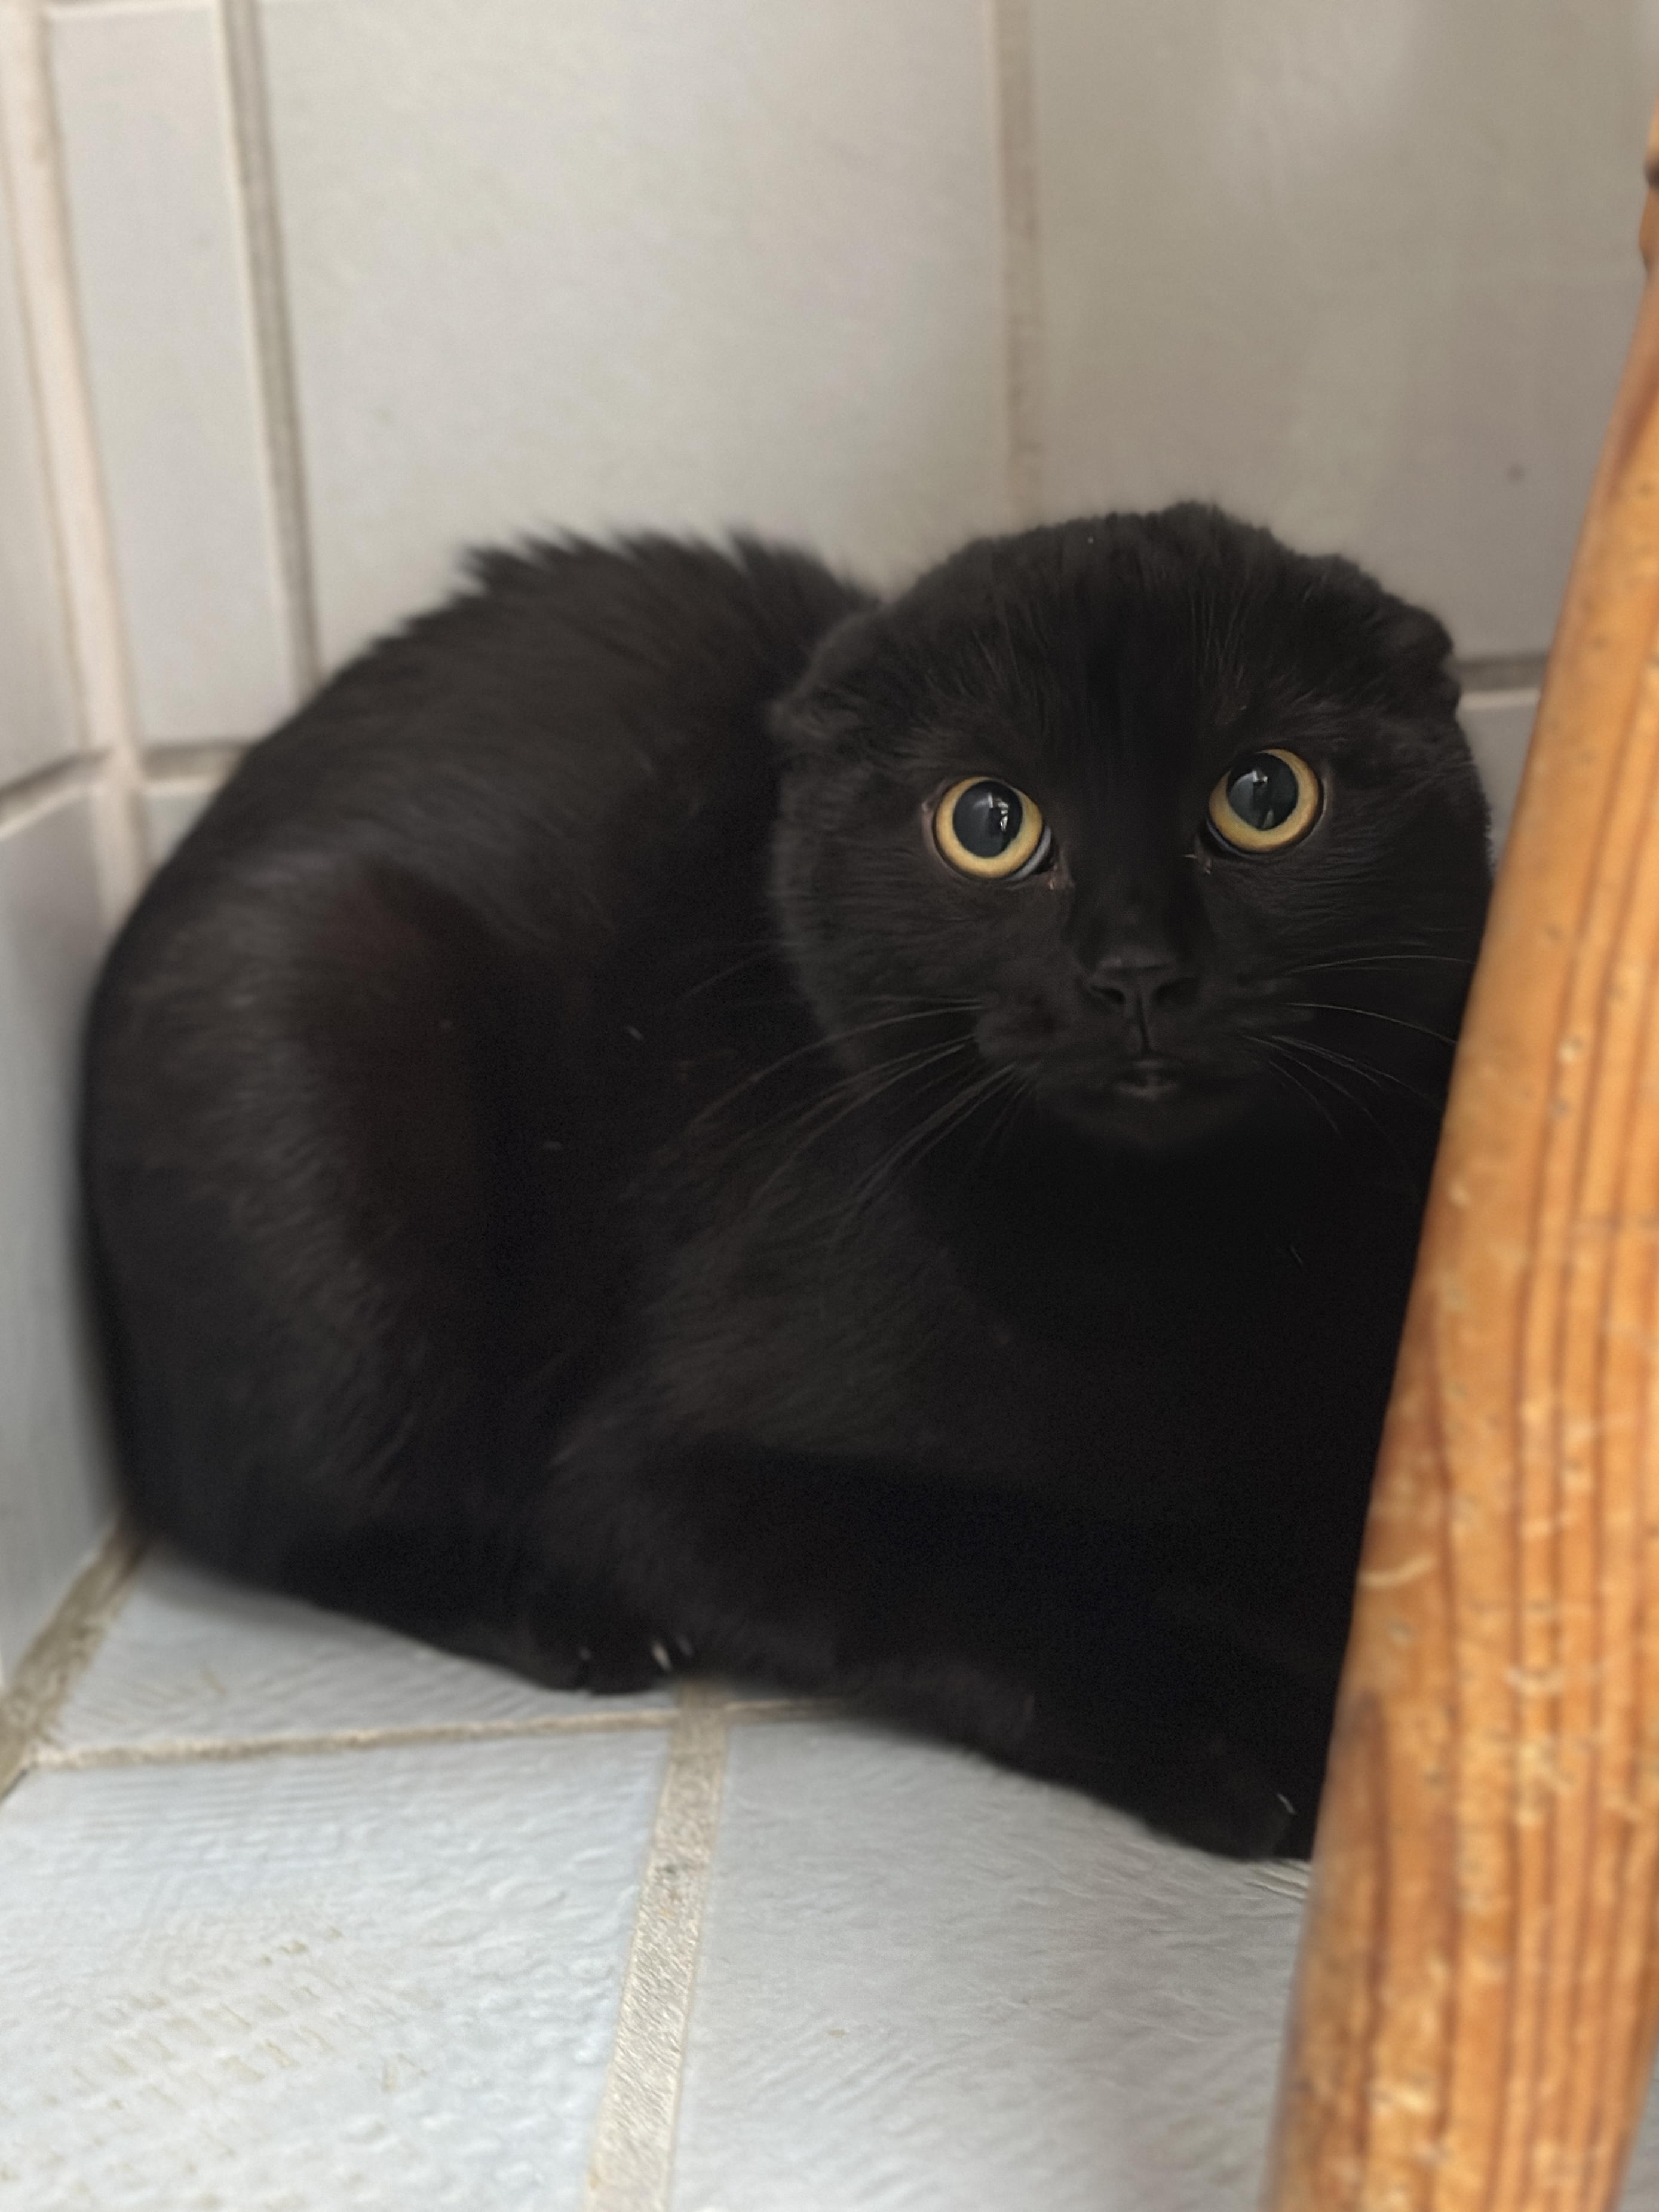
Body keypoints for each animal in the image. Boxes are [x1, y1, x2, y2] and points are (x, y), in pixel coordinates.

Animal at [83, 503, 1491, 1858]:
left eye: (1265, 794)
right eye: (987, 824)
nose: (1135, 967)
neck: (1171, 1247)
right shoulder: (657, 1469)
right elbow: (1013, 1566)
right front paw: (1273, 1737)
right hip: (322, 1014)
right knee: (309, 1521)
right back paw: (570, 1616)